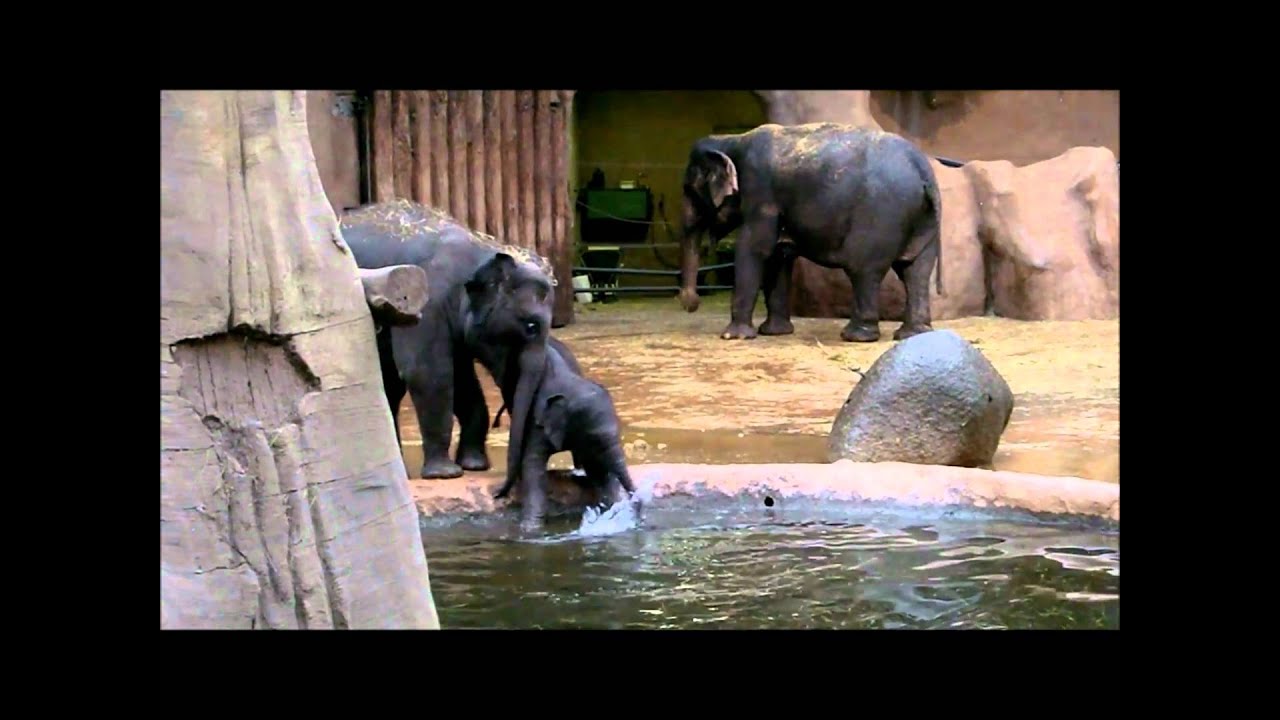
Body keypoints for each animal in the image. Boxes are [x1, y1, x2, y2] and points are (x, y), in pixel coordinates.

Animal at [340, 200, 558, 481]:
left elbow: (464, 380)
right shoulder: (425, 302)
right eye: (531, 327)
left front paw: (474, 465)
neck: (481, 248)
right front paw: (445, 474)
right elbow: (429, 373)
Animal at [491, 338, 635, 530]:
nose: (496, 495)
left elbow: (596, 468)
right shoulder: (538, 419)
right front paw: (530, 528)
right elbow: (533, 465)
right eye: (595, 439)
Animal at [677, 122, 945, 343]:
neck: (732, 139)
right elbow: (779, 256)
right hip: (923, 219)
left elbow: (755, 247)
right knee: (915, 270)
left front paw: (734, 336)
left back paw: (856, 336)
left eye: (690, 190)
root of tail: (922, 169)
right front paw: (775, 332)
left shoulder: (761, 191)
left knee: (863, 269)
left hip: (880, 214)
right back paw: (913, 335)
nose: (692, 304)